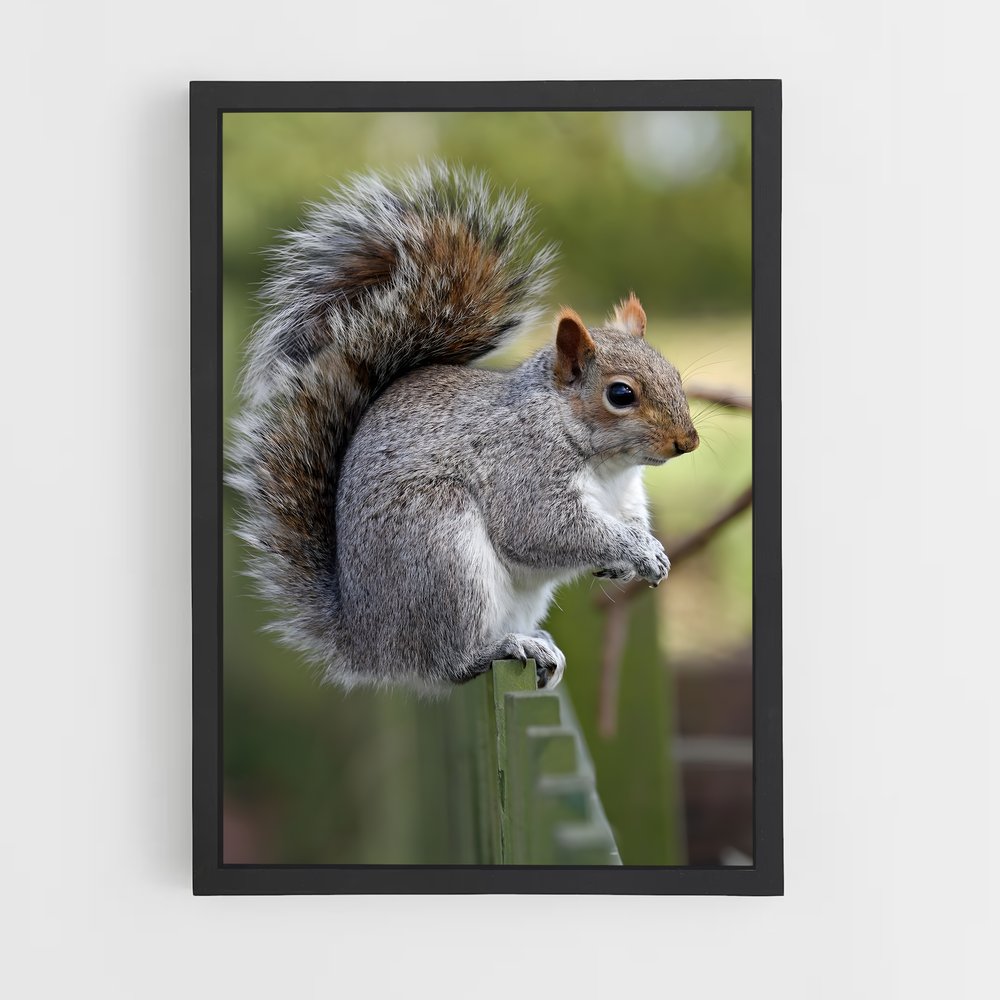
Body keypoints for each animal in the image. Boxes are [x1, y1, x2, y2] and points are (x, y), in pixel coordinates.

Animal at [229, 163, 699, 693]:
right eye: (620, 394)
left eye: (674, 373)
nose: (688, 442)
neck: (607, 465)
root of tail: (368, 643)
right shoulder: (524, 468)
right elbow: (543, 528)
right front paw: (631, 550)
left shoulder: (625, 498)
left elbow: (630, 521)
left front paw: (646, 552)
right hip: (442, 549)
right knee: (449, 663)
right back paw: (504, 647)